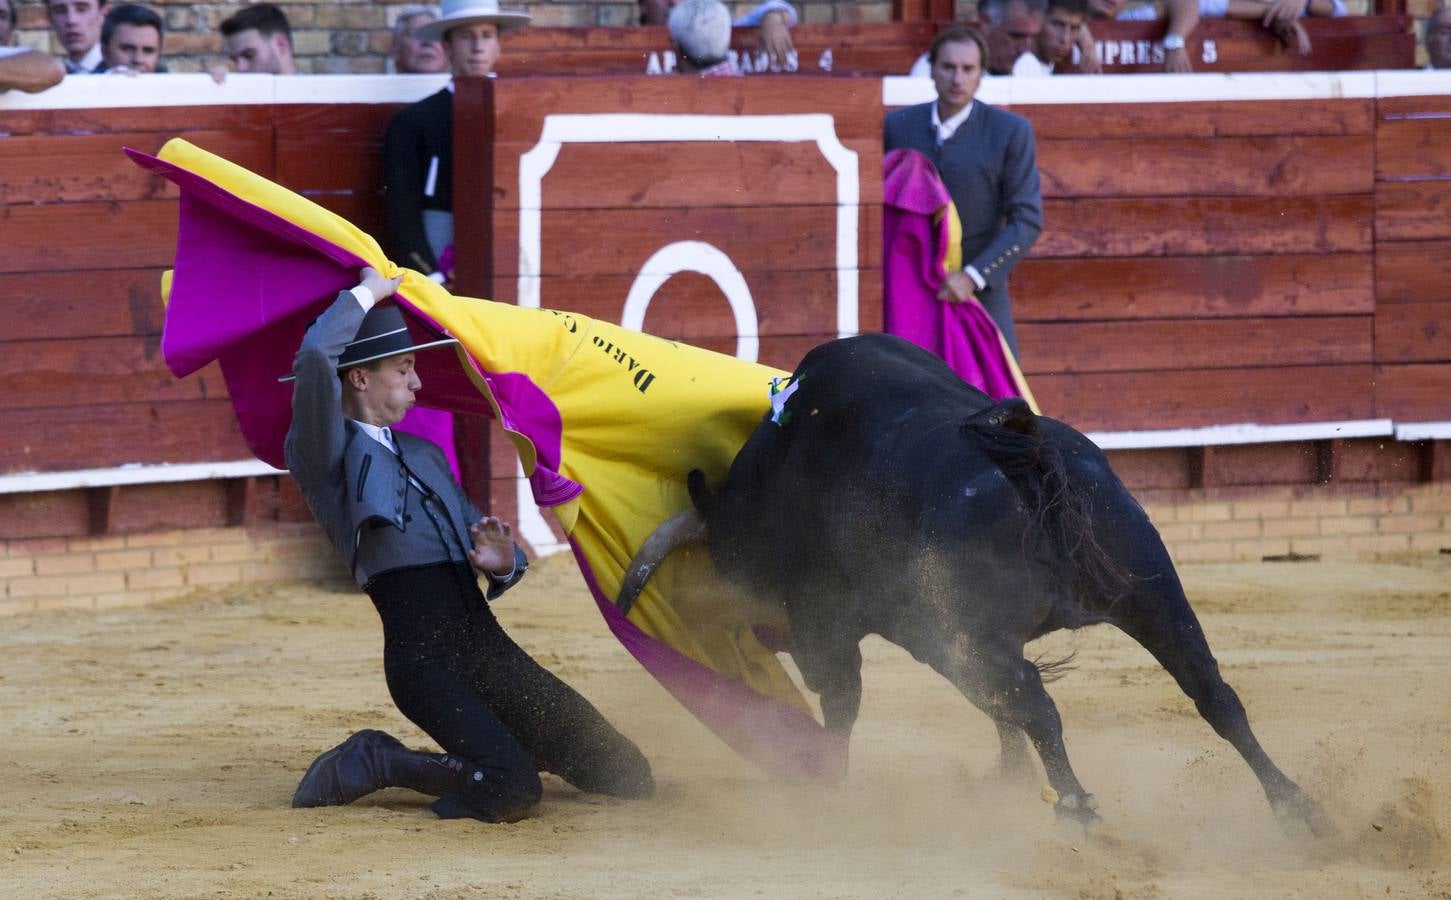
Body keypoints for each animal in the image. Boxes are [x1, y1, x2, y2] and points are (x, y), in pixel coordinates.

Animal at [618, 333, 1329, 830]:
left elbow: (845, 703)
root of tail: (1032, 461)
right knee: (1213, 693)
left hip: (983, 631)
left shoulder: (834, 624)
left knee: (1040, 703)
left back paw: (1077, 806)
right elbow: (990, 705)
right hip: (1153, 593)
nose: (769, 636)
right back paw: (1297, 809)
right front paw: (1005, 777)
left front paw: (831, 785)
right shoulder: (930, 636)